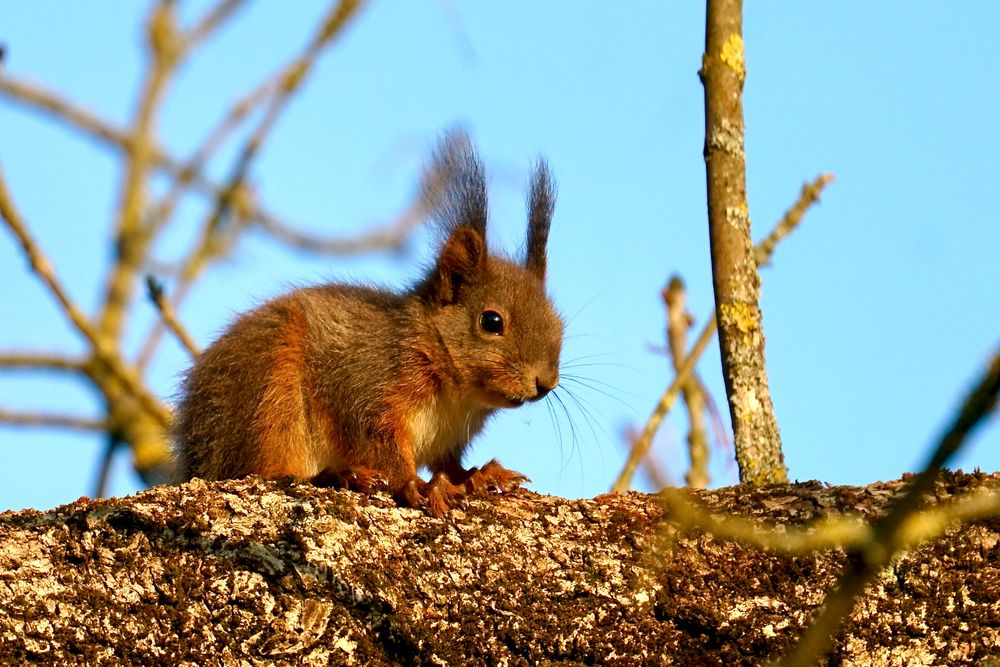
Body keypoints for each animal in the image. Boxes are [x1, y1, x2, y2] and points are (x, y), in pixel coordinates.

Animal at [173, 133, 564, 516]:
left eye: (559, 325)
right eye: (491, 321)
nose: (545, 384)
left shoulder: (449, 437)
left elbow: (450, 464)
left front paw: (476, 477)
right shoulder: (367, 388)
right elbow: (380, 446)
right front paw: (418, 485)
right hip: (268, 394)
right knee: (263, 469)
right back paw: (339, 474)